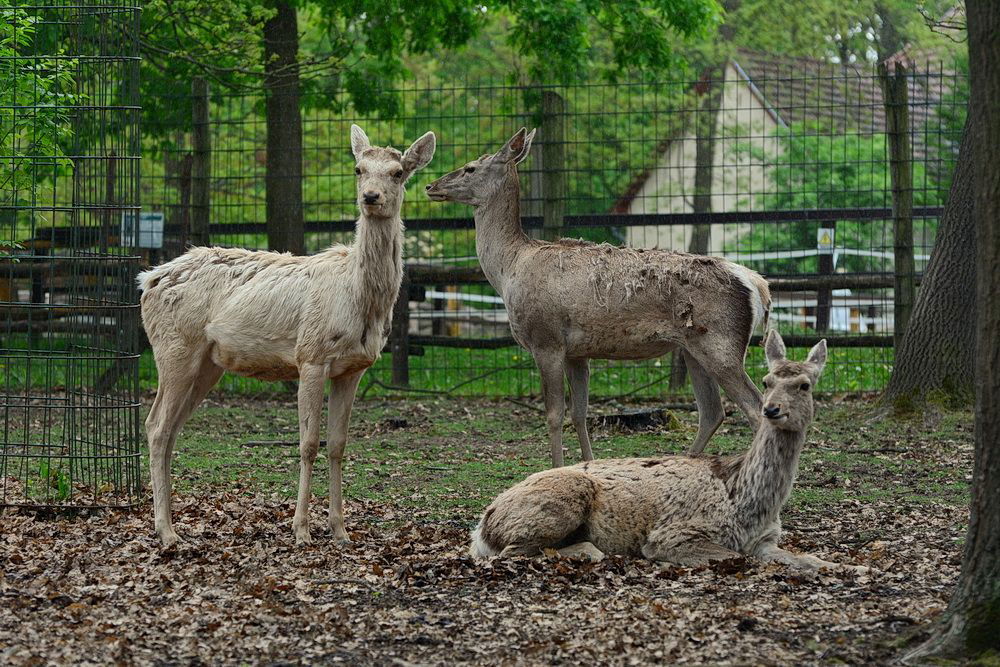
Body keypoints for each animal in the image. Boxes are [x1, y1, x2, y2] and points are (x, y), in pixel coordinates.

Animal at [139, 125, 436, 548]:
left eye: (398, 172)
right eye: (358, 169)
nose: (370, 197)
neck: (359, 298)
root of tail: (147, 281)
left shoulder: (354, 368)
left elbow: (339, 445)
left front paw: (341, 531)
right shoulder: (310, 355)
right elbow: (309, 443)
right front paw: (301, 530)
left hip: (207, 364)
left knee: (171, 427)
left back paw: (167, 524)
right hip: (173, 347)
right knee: (156, 426)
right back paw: (166, 531)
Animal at [426, 129, 768, 464]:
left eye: (470, 167)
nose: (431, 186)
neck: (508, 269)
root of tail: (757, 284)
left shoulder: (546, 340)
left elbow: (554, 415)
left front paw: (556, 468)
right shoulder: (578, 352)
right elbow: (579, 413)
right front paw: (587, 465)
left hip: (720, 343)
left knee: (755, 408)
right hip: (692, 348)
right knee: (713, 412)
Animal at [468, 328, 868, 576]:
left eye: (805, 384)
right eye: (767, 381)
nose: (771, 409)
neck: (744, 500)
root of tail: (482, 526)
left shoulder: (766, 540)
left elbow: (809, 558)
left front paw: (857, 567)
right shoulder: (674, 534)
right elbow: (740, 558)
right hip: (559, 502)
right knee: (511, 553)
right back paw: (591, 550)